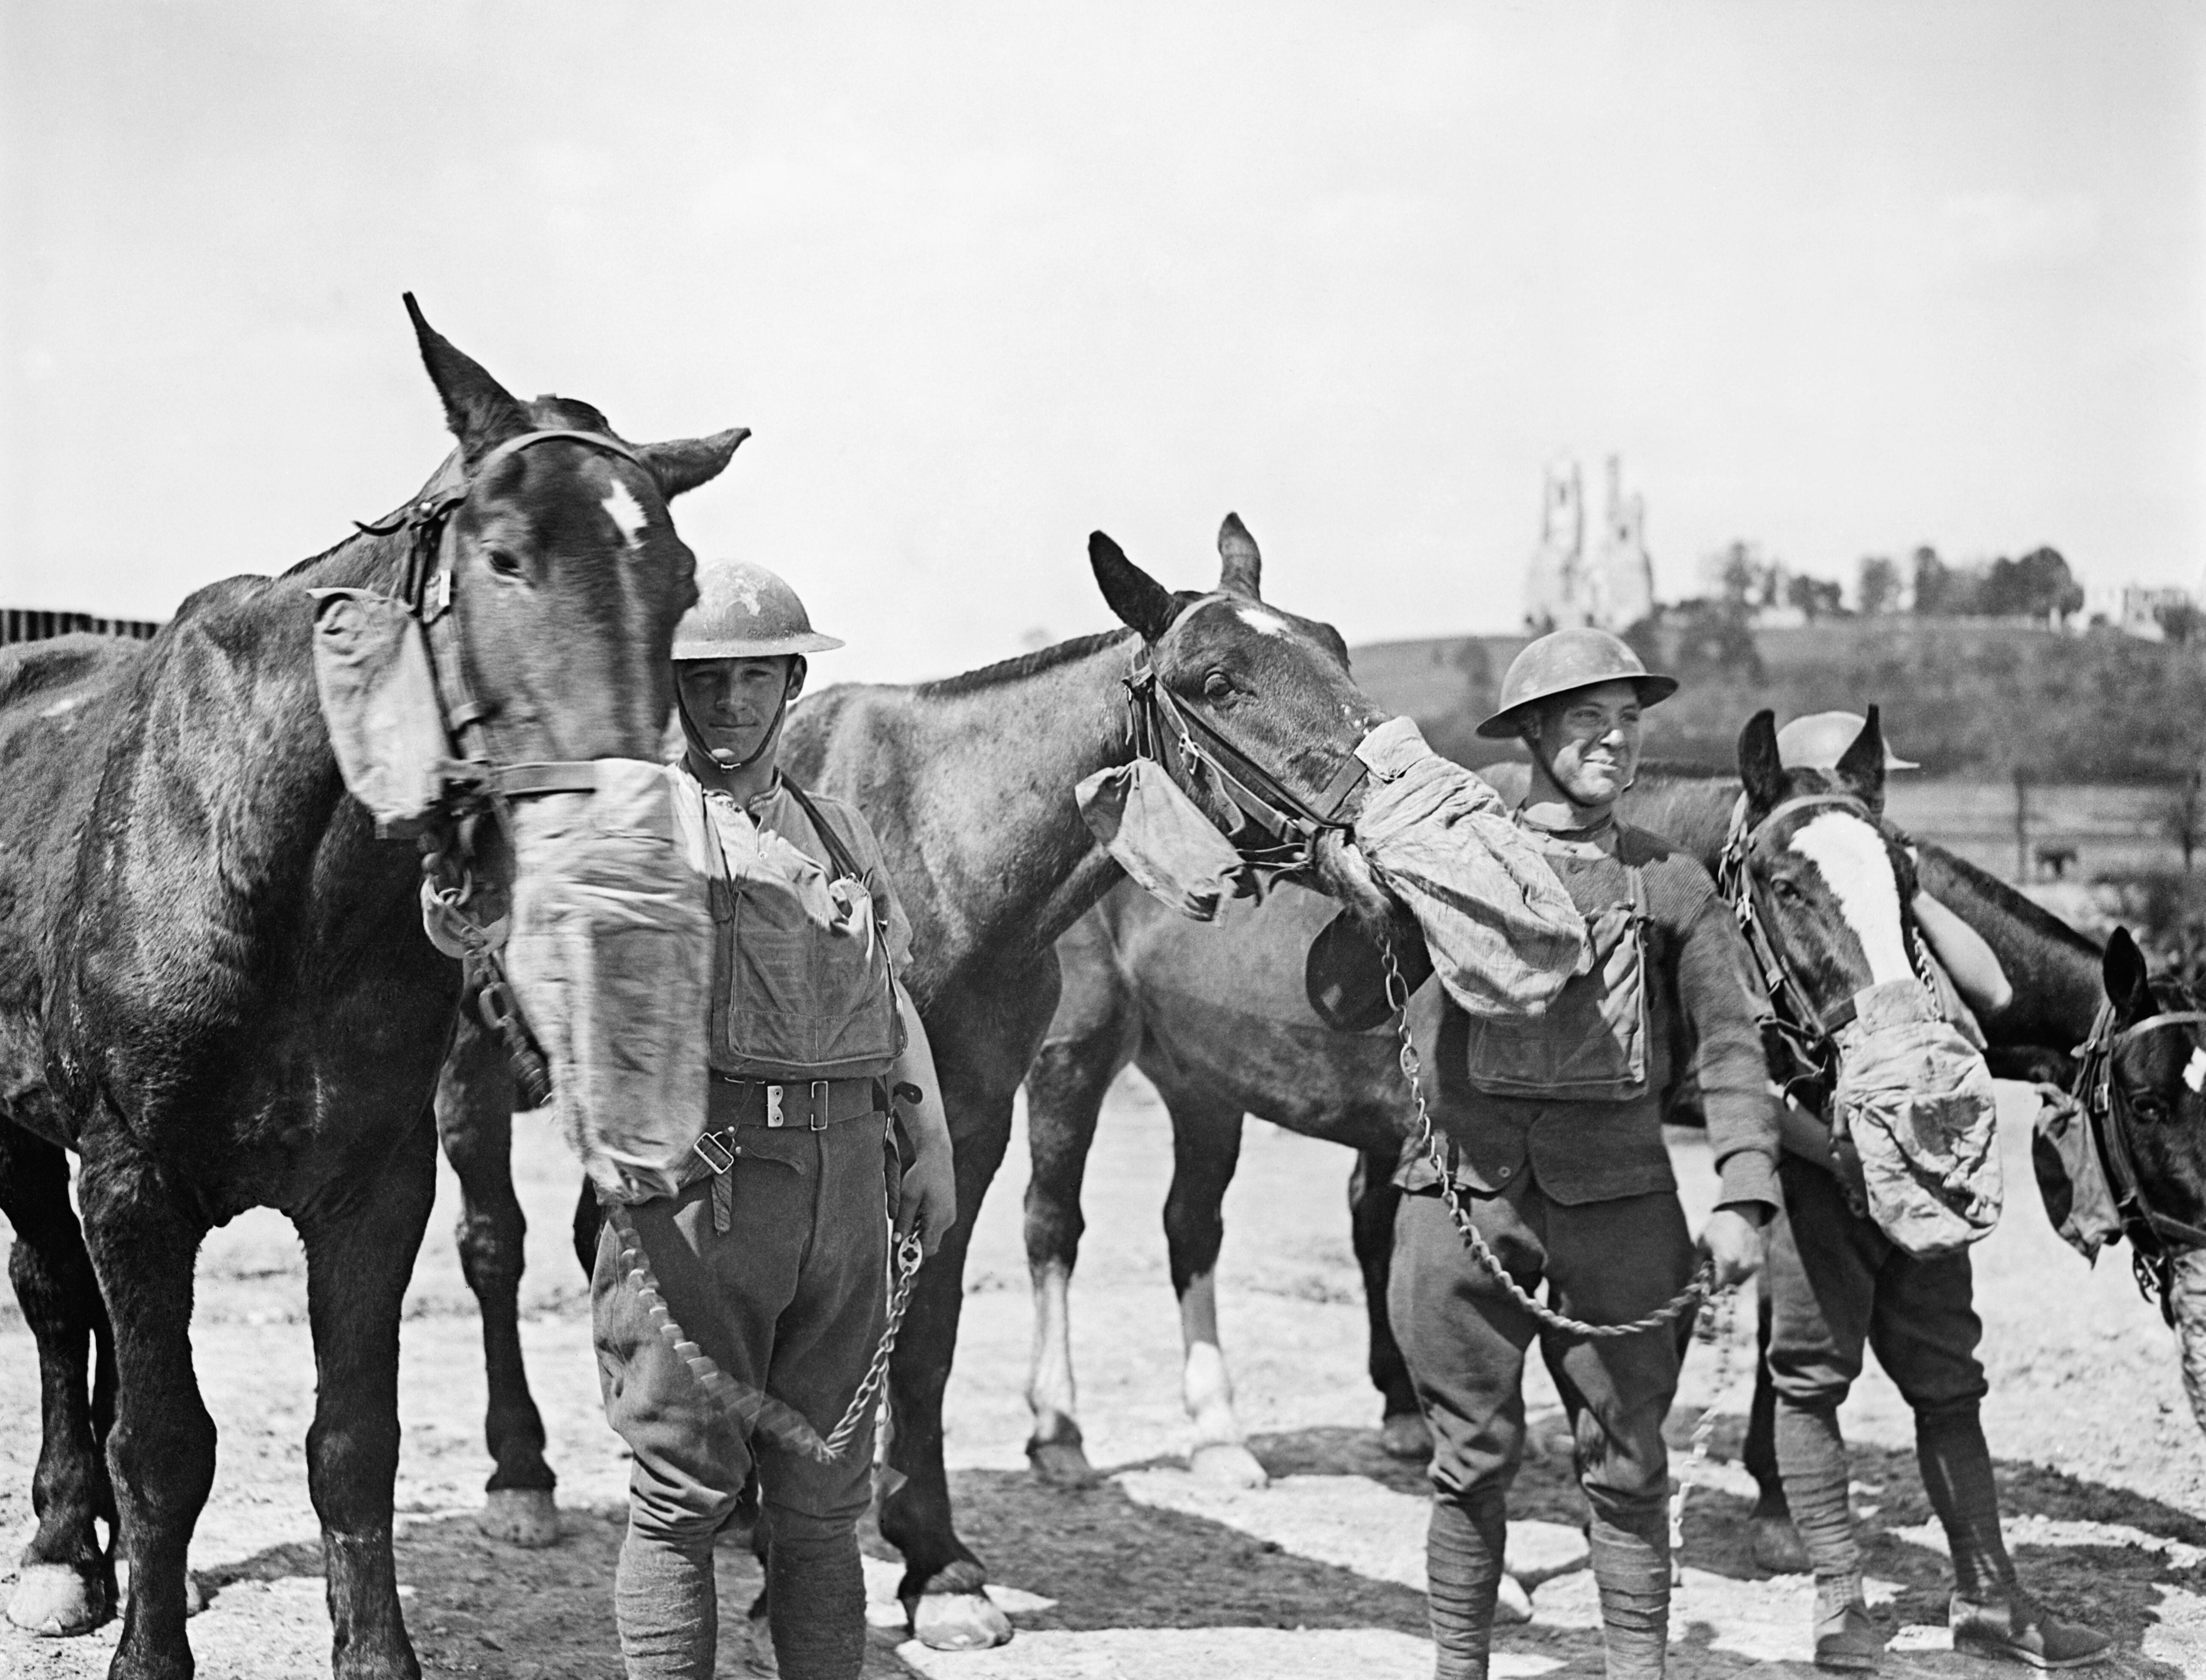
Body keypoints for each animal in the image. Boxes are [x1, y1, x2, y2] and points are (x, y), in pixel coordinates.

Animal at [0, 295, 746, 1666]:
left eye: (677, 580)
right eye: (505, 557)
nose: (623, 846)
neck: (267, 872)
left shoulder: (373, 1189)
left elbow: (352, 1444)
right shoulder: (131, 1180)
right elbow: (164, 1445)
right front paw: (141, 1636)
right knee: (55, 1300)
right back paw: (65, 1548)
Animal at [423, 518, 1438, 1640]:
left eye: (1336, 649)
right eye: (1216, 681)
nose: (1398, 829)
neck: (942, 848)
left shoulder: (969, 1126)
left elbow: (927, 1335)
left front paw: (932, 1558)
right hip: (472, 1082)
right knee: (495, 1249)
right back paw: (524, 1478)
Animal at [1014, 723, 2135, 1508]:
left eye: (1904, 879)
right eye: (1786, 884)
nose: (1902, 1061)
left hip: (1201, 1084)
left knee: (1193, 1230)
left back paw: (1226, 1435)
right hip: (1076, 1056)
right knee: (1053, 1226)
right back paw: (1061, 1433)